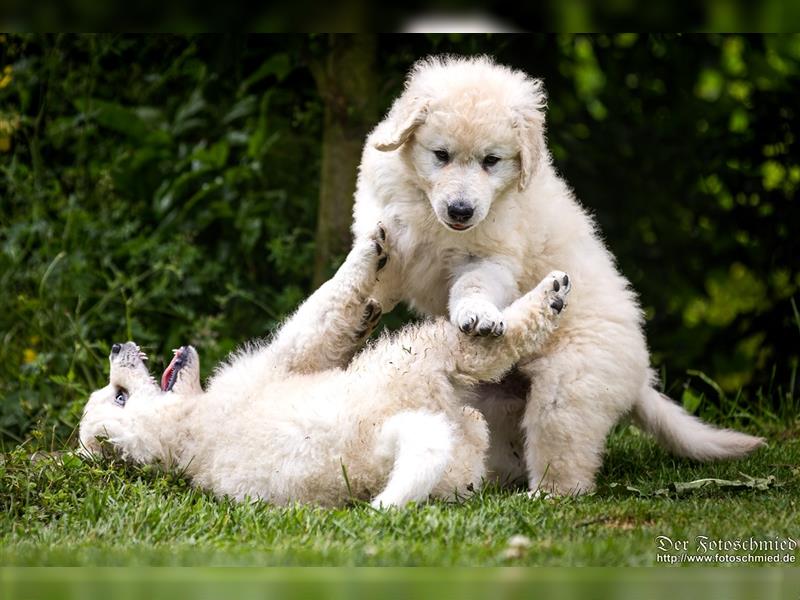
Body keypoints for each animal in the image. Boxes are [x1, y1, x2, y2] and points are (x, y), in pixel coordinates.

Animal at [79, 225, 576, 506]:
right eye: (120, 397)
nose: (116, 346)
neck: (185, 431)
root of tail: (378, 450)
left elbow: (338, 322)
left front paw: (364, 317)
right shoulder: (289, 355)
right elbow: (327, 304)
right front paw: (369, 250)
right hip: (415, 359)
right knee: (482, 352)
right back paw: (550, 294)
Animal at [352, 56, 764, 494]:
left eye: (491, 161)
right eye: (441, 155)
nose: (461, 211)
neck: (431, 213)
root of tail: (639, 375)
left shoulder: (493, 256)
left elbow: (474, 284)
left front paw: (478, 314)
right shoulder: (392, 230)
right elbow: (379, 264)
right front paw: (359, 305)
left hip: (567, 389)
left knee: (567, 459)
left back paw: (546, 495)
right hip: (492, 402)